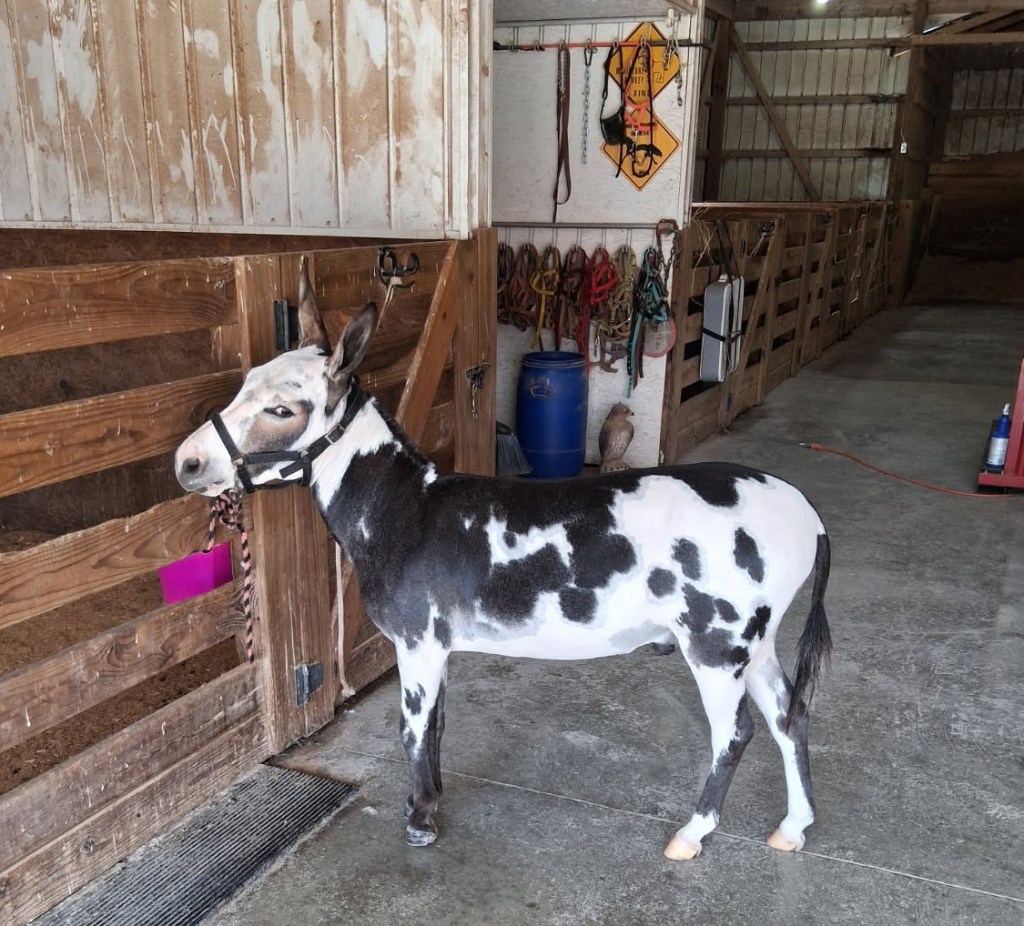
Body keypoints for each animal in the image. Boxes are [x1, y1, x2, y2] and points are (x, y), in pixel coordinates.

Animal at [174, 258, 833, 861]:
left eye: (282, 411)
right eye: (244, 381)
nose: (186, 463)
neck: (405, 508)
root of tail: (807, 513)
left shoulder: (416, 642)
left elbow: (412, 730)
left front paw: (420, 820)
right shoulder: (437, 647)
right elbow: (437, 725)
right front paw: (431, 800)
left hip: (716, 645)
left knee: (735, 734)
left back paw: (692, 835)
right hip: (757, 644)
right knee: (789, 716)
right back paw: (793, 827)